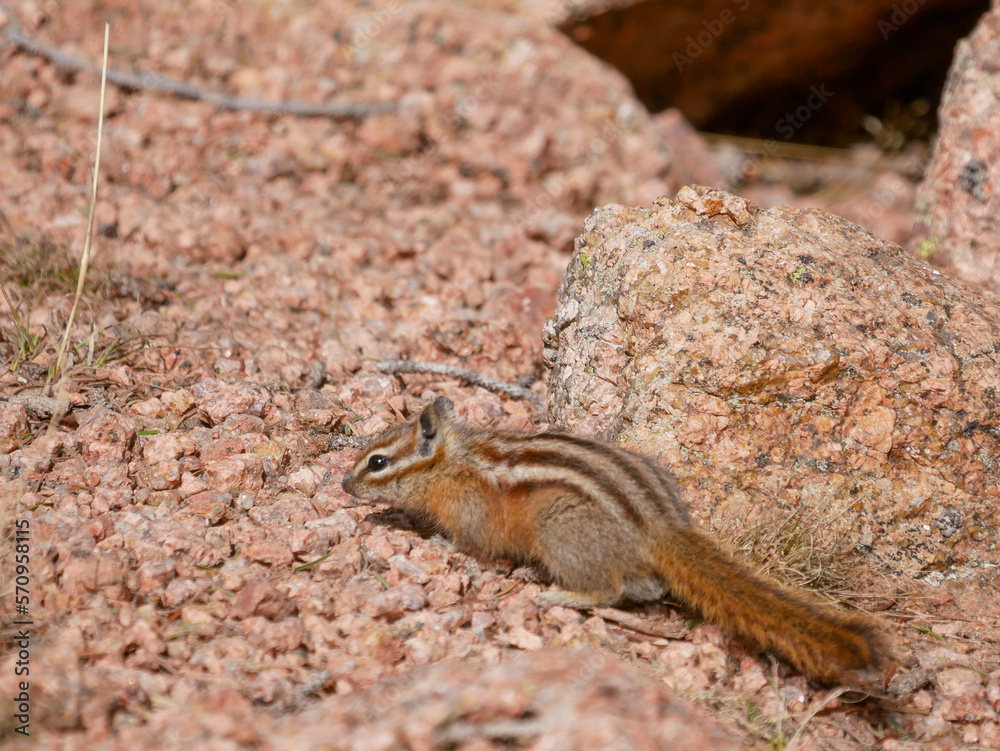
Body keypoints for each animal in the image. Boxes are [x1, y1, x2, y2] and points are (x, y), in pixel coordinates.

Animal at [341, 396, 884, 684]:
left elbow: (468, 544)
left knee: (608, 589)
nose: (344, 485)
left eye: (377, 462)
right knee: (645, 586)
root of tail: (661, 527)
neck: (453, 464)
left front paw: (437, 544)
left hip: (558, 528)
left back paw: (558, 596)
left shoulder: (472, 517)